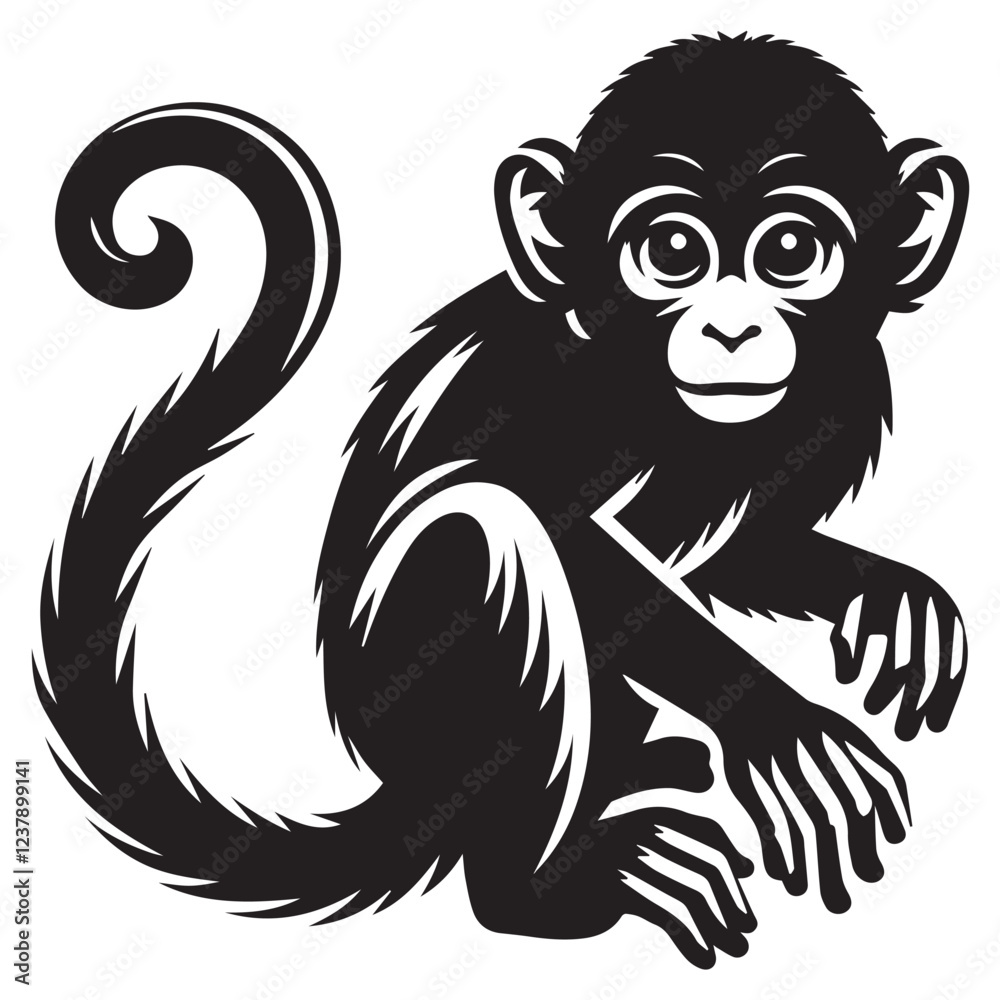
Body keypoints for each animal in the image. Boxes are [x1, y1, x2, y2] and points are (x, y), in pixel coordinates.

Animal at [36, 34, 969, 969]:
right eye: (673, 250)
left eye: (792, 252)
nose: (732, 330)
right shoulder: (559, 387)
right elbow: (556, 519)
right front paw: (773, 720)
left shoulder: (836, 393)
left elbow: (740, 551)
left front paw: (880, 591)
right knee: (480, 532)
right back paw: (542, 888)